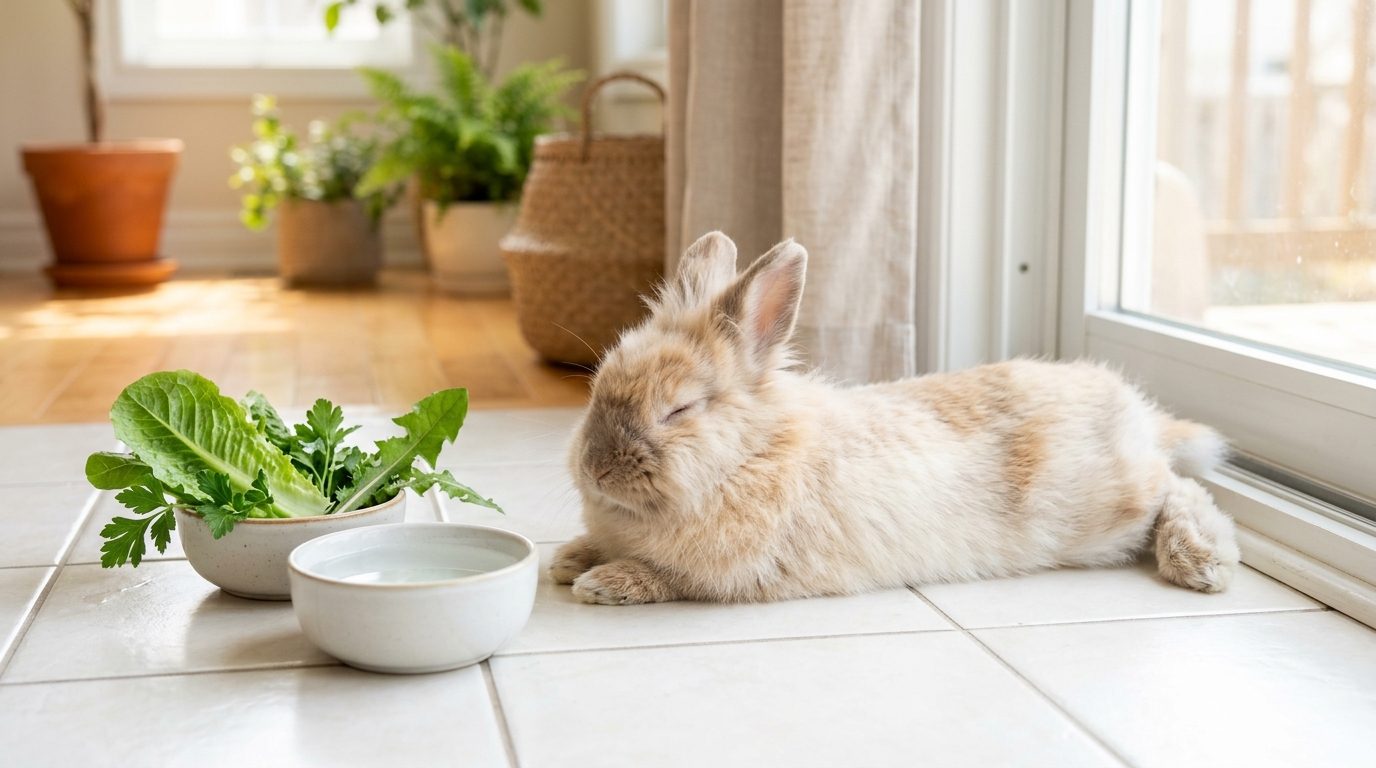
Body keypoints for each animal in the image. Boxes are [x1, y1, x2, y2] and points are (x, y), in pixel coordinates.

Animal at [551, 231, 1240, 605]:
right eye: (600, 386)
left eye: (679, 409)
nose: (595, 469)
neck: (751, 456)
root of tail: (1135, 413)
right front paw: (568, 559)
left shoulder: (731, 576)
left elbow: (666, 578)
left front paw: (603, 583)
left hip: (1110, 503)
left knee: (1180, 488)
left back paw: (1201, 560)